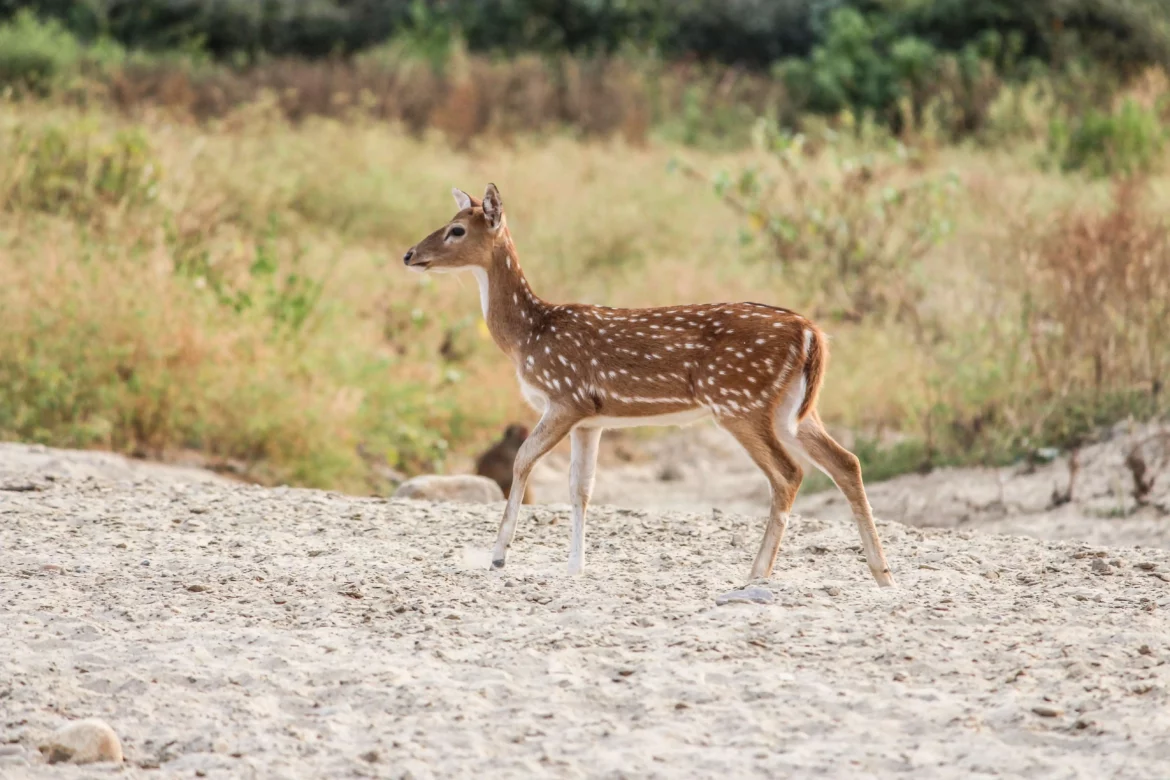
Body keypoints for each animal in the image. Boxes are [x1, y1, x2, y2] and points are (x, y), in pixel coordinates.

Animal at [402, 183, 893, 584]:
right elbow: (581, 488)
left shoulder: (566, 396)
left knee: (789, 473)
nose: (409, 254)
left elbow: (523, 460)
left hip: (739, 400)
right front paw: (575, 566)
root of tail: (811, 333)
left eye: (456, 230)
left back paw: (757, 574)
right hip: (796, 407)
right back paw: (882, 574)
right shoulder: (591, 419)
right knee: (846, 462)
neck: (528, 336)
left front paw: (499, 555)